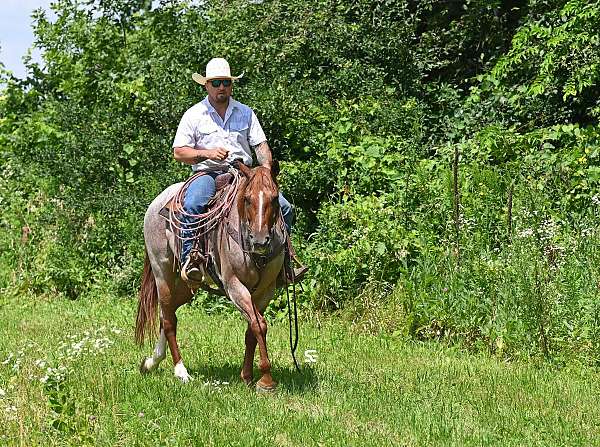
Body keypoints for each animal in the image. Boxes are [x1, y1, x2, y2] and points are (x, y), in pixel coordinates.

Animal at [136, 163, 286, 394]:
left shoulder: (265, 291)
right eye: (247, 199)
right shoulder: (234, 286)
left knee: (166, 313)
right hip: (162, 273)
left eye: (275, 198)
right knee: (169, 320)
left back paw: (151, 362)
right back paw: (181, 372)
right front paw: (266, 381)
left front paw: (247, 376)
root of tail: (158, 201)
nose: (260, 241)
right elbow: (259, 325)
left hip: (187, 284)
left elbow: (252, 329)